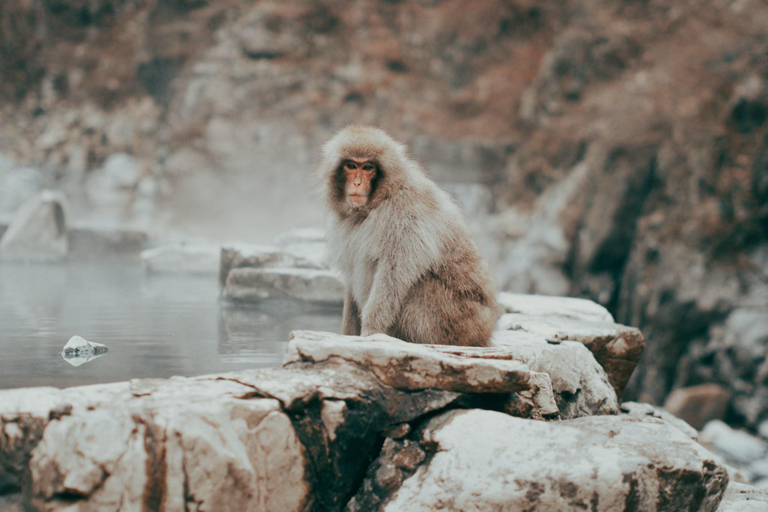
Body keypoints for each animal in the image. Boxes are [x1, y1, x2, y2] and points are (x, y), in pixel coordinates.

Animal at [319, 125, 500, 347]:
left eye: (368, 167)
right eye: (351, 165)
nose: (358, 182)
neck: (379, 200)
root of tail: (486, 333)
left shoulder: (406, 213)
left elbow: (393, 273)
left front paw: (370, 330)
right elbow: (353, 276)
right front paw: (348, 333)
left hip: (460, 322)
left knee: (420, 284)